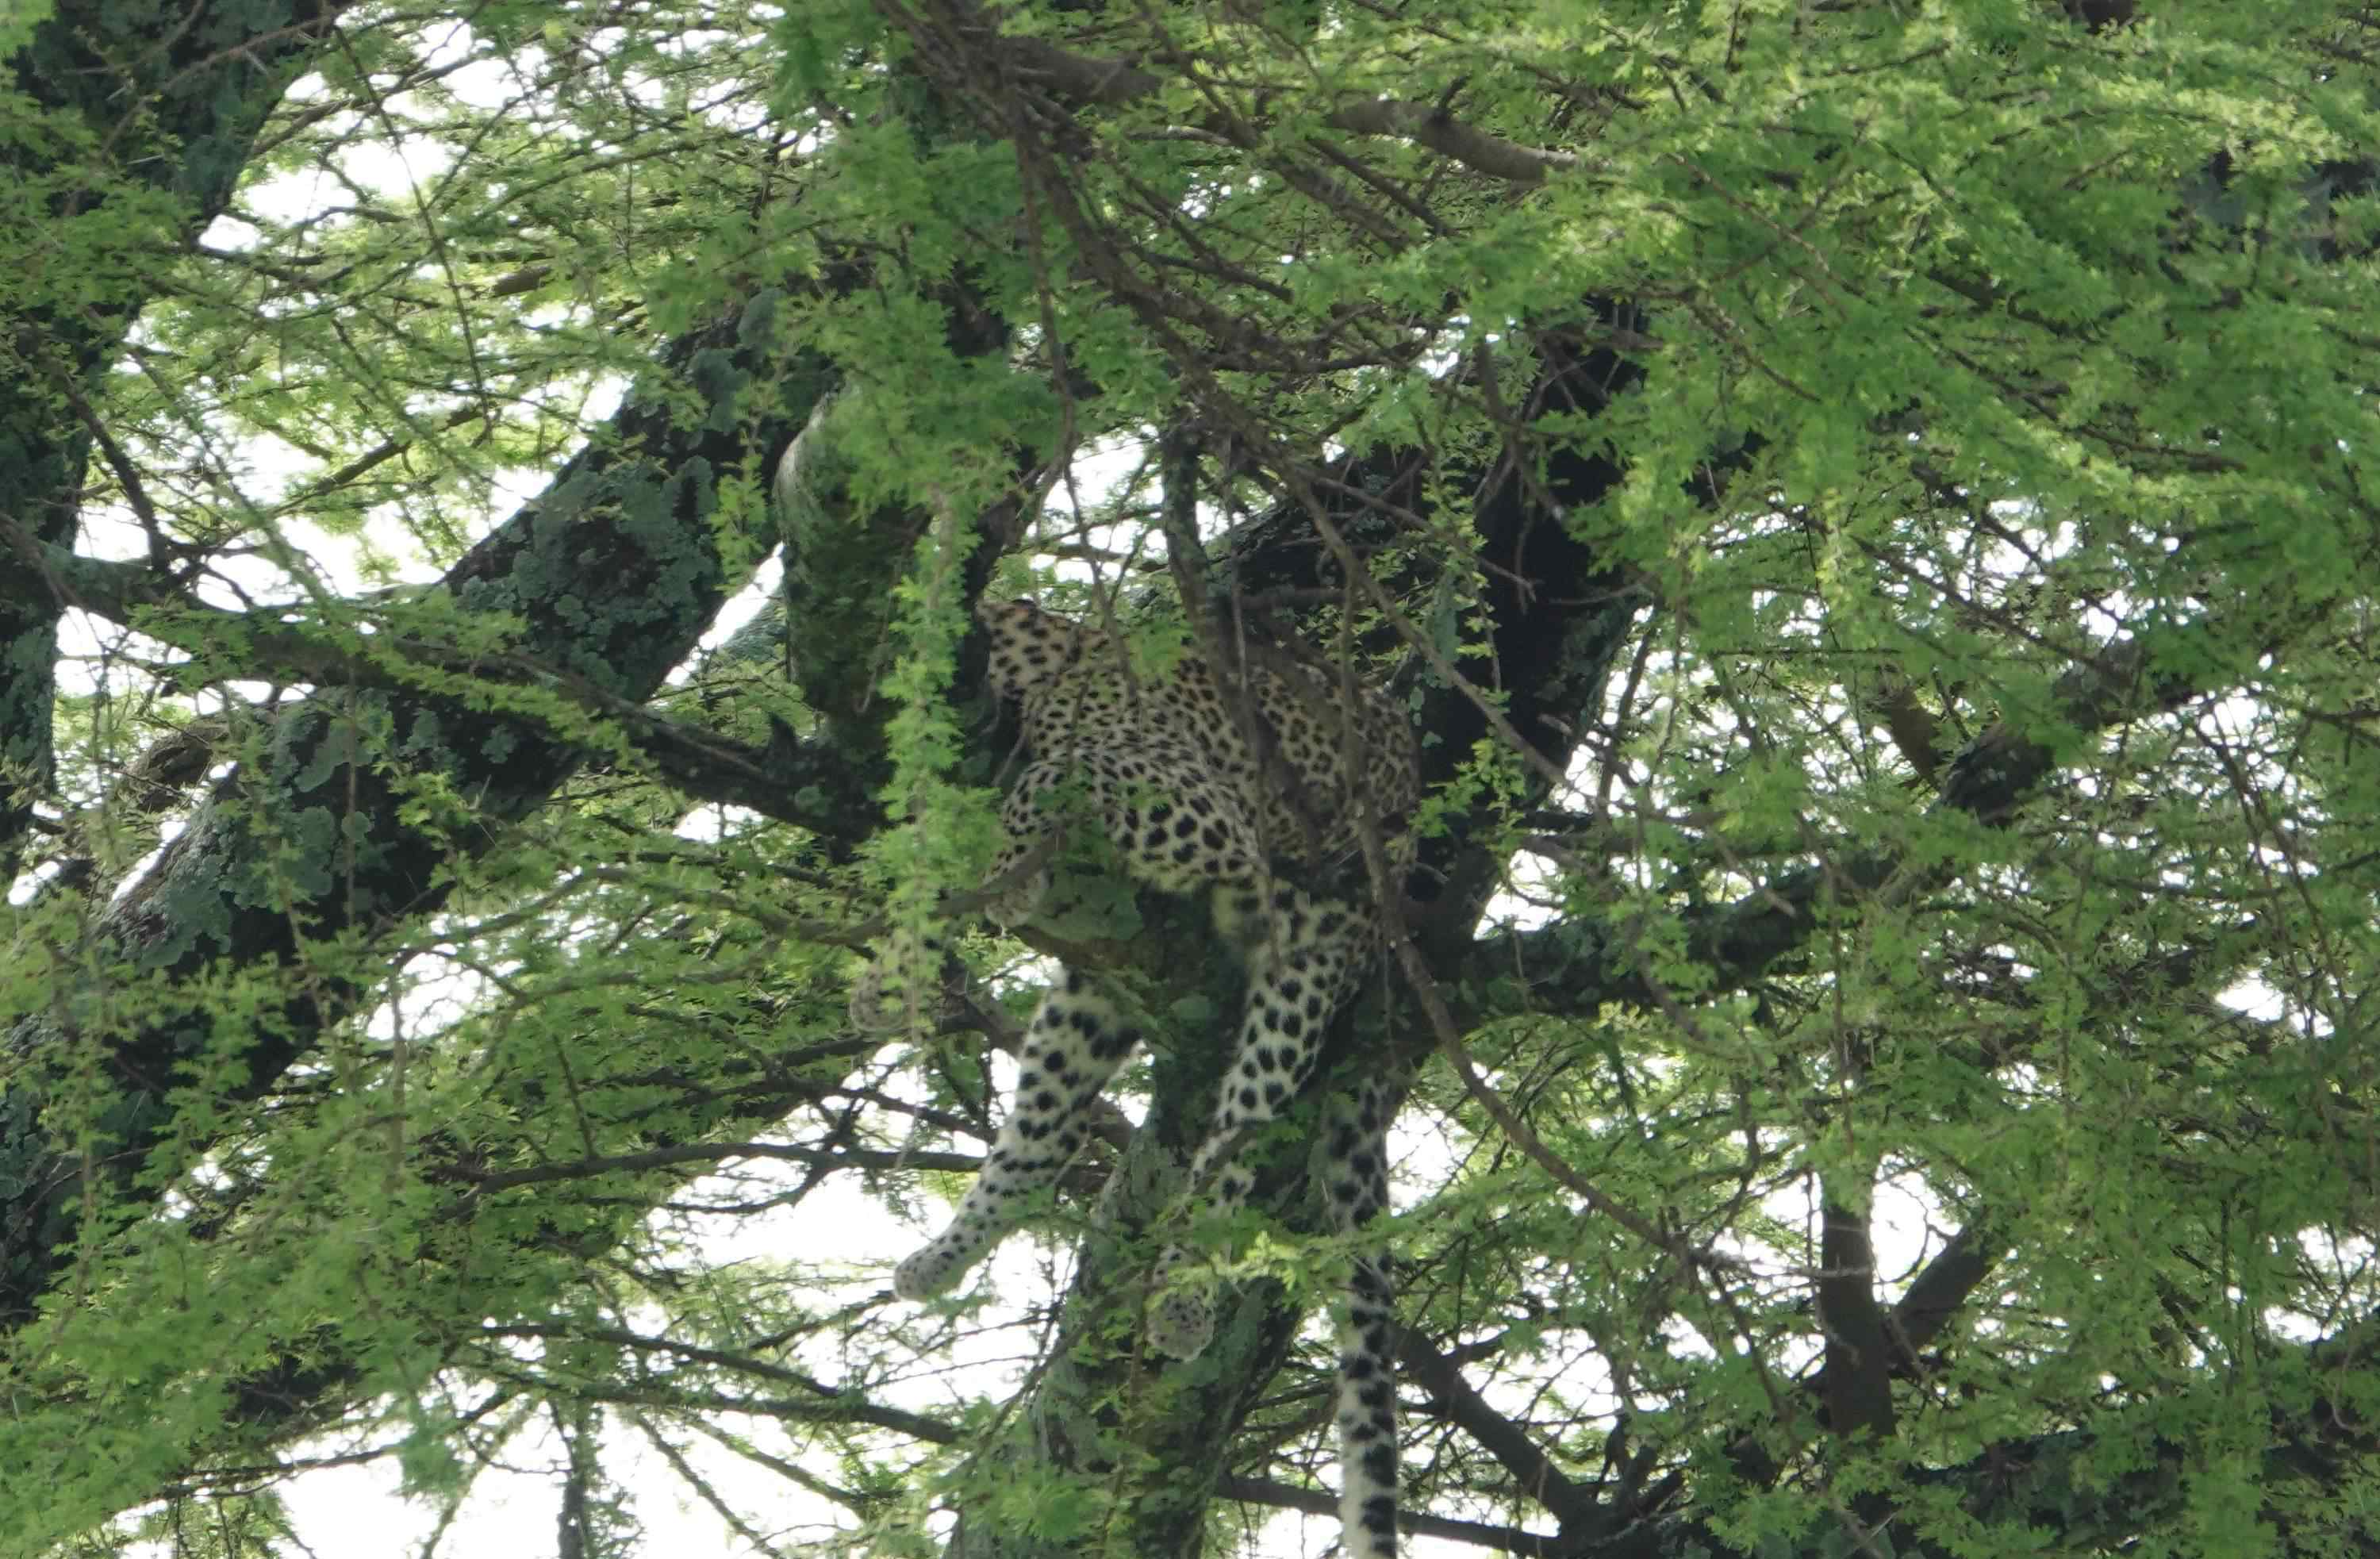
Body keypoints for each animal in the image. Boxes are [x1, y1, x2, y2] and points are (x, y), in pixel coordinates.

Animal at [871, 593, 1409, 1552]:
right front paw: (892, 970)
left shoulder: (1181, 792)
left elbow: (1039, 785)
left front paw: (1000, 874)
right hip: (1098, 988)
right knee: (1032, 1147)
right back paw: (941, 1257)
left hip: (1304, 961)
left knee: (1237, 1141)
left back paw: (1185, 1301)